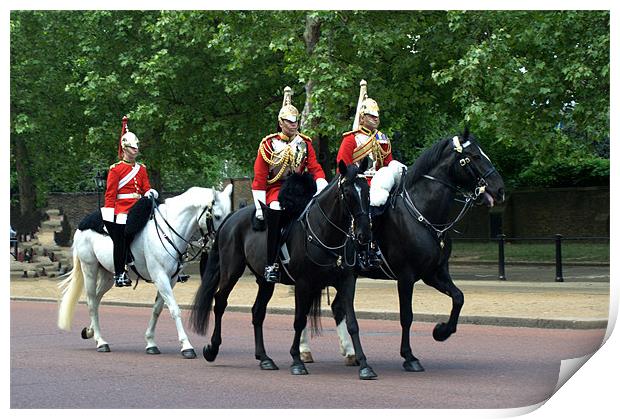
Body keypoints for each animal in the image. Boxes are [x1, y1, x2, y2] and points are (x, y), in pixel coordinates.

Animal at [189, 160, 378, 380]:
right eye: (347, 192)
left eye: (367, 191)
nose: (364, 234)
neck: (325, 233)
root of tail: (233, 215)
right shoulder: (303, 284)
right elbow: (299, 320)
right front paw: (297, 361)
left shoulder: (346, 282)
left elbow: (352, 323)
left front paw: (364, 364)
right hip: (231, 271)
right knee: (220, 302)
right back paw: (212, 349)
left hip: (264, 281)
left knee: (257, 312)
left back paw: (264, 358)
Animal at [322, 130, 506, 370]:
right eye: (474, 156)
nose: (500, 189)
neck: (423, 213)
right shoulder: (406, 276)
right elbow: (407, 316)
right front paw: (409, 356)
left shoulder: (434, 273)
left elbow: (459, 297)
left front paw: (441, 331)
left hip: (346, 276)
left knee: (337, 307)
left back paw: (349, 353)